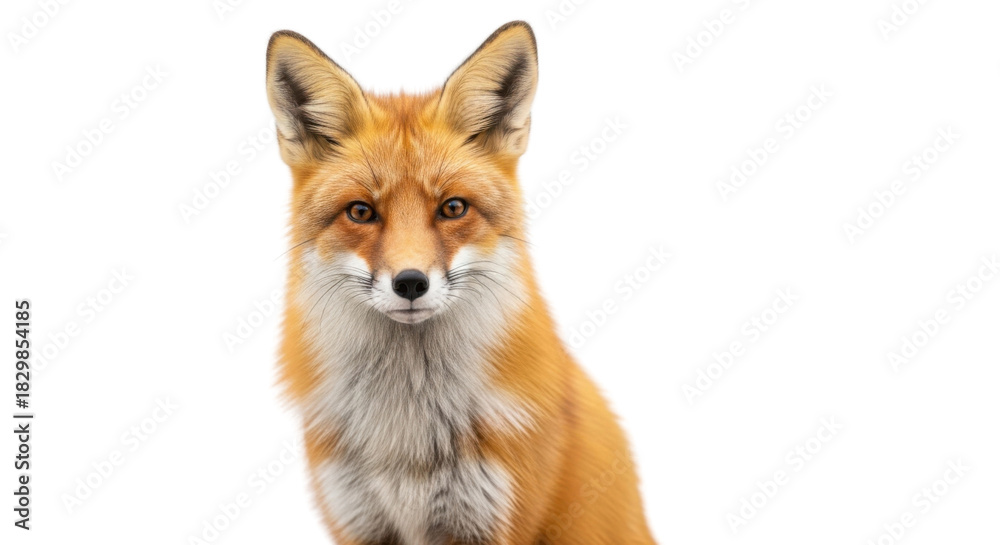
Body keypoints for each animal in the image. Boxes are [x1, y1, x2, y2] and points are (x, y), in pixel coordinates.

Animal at [265, 21, 656, 545]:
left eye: (452, 207)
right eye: (361, 212)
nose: (411, 283)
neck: (405, 435)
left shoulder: (489, 520)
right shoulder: (359, 521)